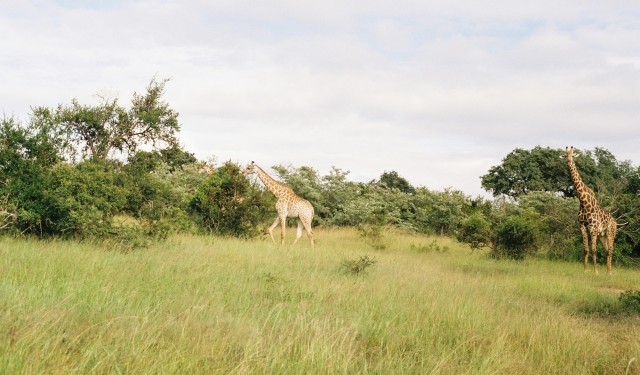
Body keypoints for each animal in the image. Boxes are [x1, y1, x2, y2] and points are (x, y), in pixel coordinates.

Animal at [568, 148, 616, 276]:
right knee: (606, 250)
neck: (584, 202)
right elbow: (586, 249)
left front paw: (595, 271)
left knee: (610, 250)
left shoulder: (593, 228)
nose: (568, 161)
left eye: (573, 155)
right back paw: (607, 271)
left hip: (610, 233)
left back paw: (610, 272)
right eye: (565, 155)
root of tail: (615, 222)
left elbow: (594, 250)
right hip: (602, 235)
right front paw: (585, 270)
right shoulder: (582, 226)